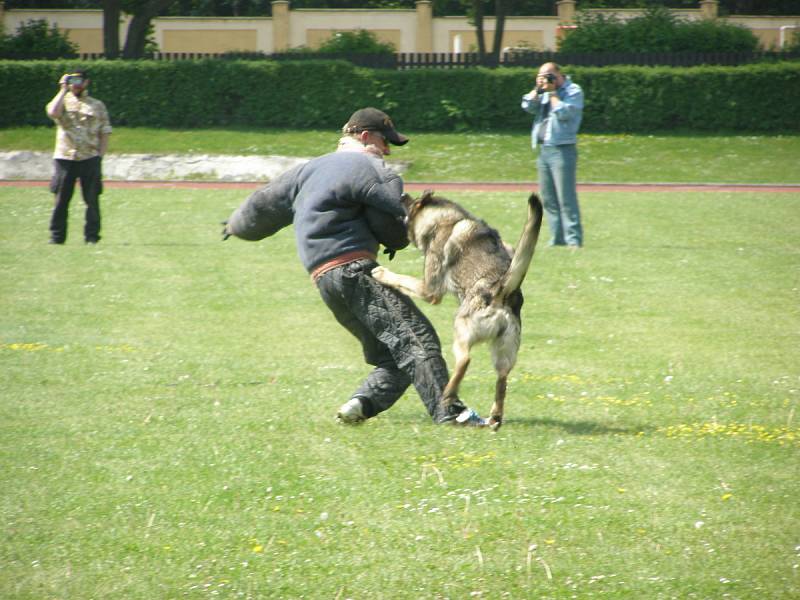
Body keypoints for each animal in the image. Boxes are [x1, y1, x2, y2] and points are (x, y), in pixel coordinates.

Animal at [374, 190, 544, 428]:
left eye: (412, 201)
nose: (402, 194)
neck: (446, 219)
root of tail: (502, 291)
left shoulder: (429, 289)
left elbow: (403, 279)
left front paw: (381, 273)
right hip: (505, 352)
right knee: (502, 381)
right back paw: (495, 417)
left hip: (461, 328)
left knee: (464, 361)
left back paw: (449, 393)